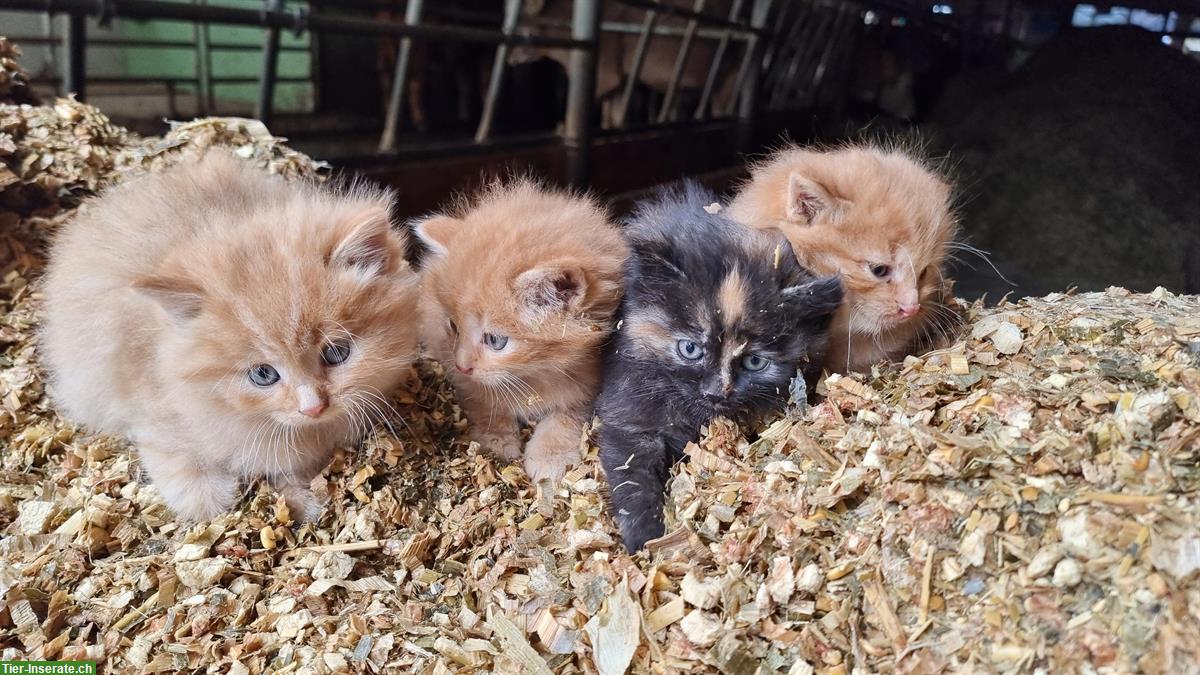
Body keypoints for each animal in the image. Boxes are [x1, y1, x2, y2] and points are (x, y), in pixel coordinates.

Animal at [42, 152, 422, 521]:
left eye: (336, 353)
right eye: (263, 374)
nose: (313, 408)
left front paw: (303, 498)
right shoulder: (147, 406)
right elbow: (180, 465)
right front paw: (214, 500)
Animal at [415, 180, 628, 478]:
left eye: (495, 340)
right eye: (453, 326)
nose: (462, 365)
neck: (533, 376)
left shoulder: (590, 385)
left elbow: (567, 416)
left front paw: (551, 456)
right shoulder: (463, 376)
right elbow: (484, 400)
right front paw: (496, 438)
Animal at [600, 181, 844, 550]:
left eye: (755, 361)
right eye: (690, 348)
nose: (718, 391)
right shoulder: (627, 415)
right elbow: (632, 478)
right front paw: (646, 537)